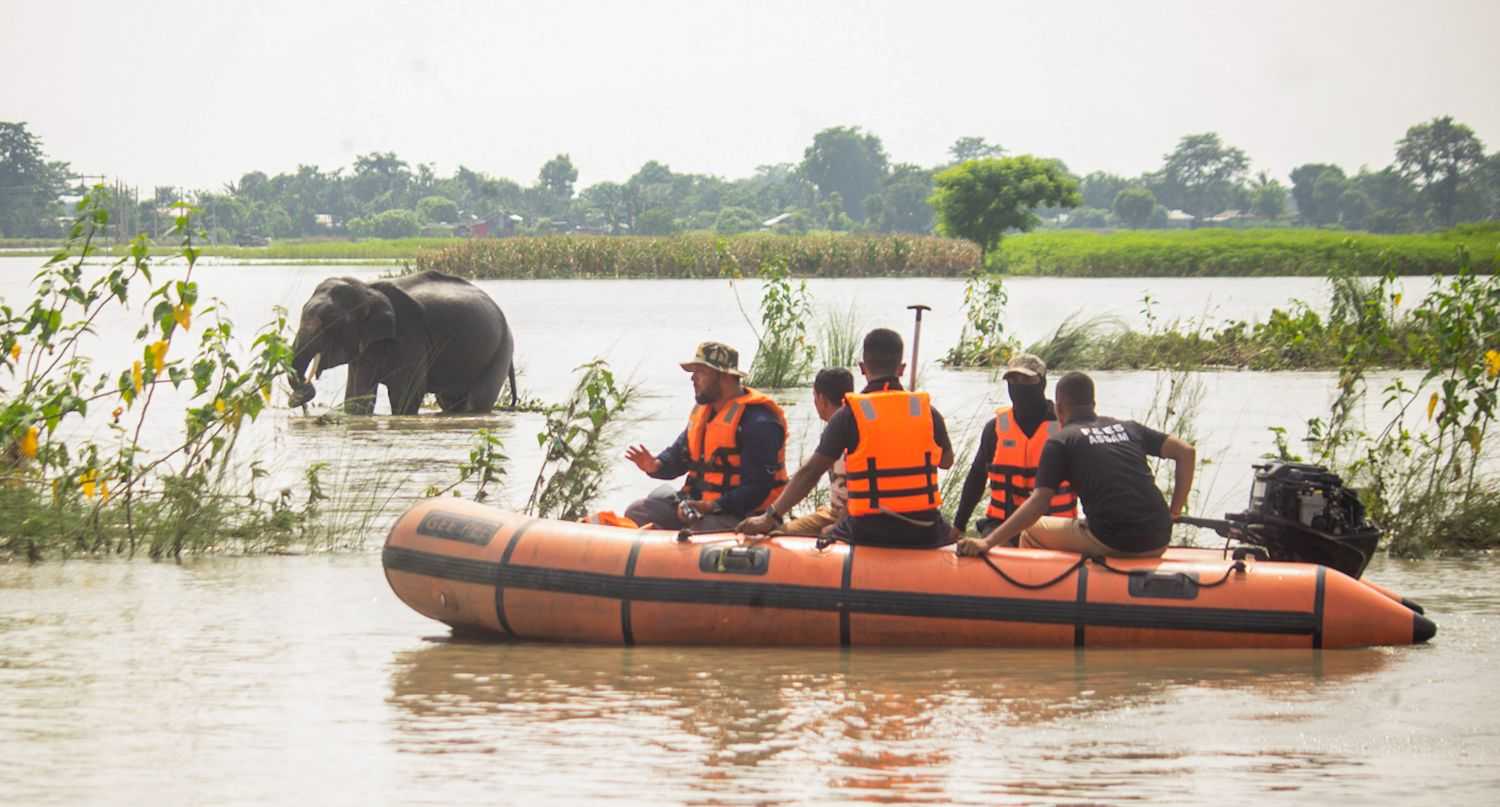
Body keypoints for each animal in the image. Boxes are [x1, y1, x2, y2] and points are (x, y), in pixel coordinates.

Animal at [289, 270, 519, 414]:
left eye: (330, 321)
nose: (297, 398)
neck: (367, 289)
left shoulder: (411, 335)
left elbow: (406, 394)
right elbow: (358, 394)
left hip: (501, 349)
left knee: (477, 401)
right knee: (450, 401)